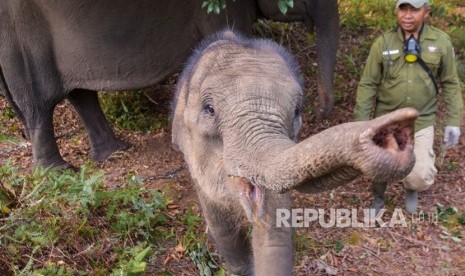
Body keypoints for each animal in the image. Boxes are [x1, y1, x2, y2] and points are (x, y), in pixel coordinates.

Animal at [0, 0, 336, 169]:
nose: (320, 114)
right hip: (21, 40)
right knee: (38, 105)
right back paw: (58, 171)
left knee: (80, 94)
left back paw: (115, 153)